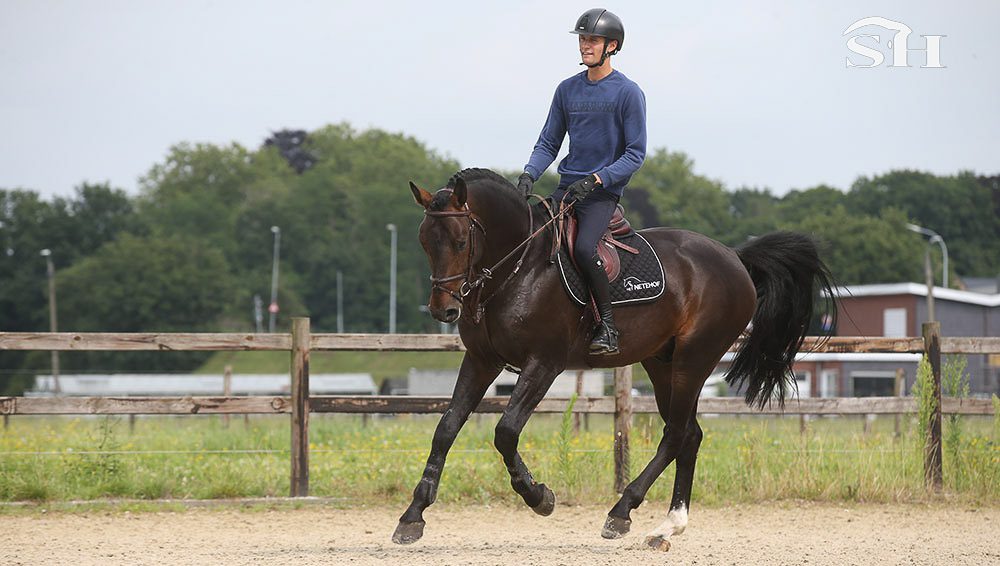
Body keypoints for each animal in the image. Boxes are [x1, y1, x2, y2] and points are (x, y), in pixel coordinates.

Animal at [394, 170, 832, 556]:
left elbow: (505, 432)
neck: (520, 269)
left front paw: (539, 496)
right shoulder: (482, 361)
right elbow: (446, 428)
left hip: (694, 360)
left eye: (459, 241)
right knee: (690, 434)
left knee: (676, 433)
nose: (444, 309)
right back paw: (667, 526)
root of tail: (734, 257)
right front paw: (413, 516)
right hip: (662, 364)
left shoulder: (544, 364)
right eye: (424, 241)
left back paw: (622, 511)